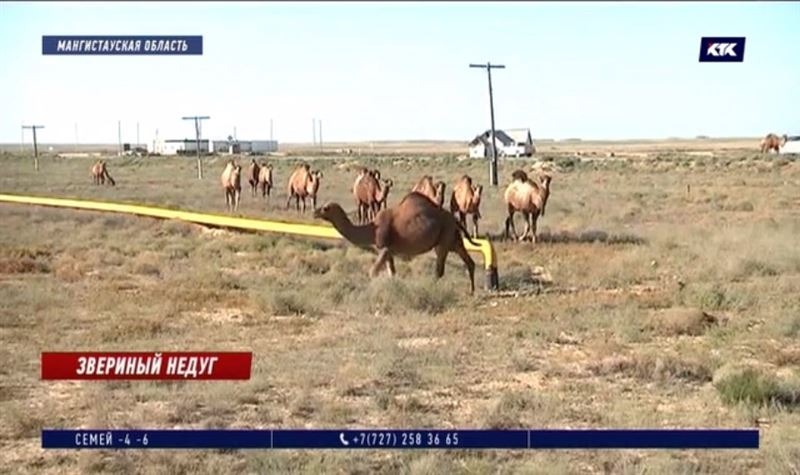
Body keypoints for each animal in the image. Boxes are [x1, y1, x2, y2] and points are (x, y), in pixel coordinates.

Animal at [310, 192, 476, 296]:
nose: (314, 212)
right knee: (469, 262)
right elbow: (392, 273)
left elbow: (373, 272)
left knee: (439, 269)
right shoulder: (390, 250)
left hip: (444, 238)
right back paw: (472, 292)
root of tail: (455, 220)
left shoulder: (384, 247)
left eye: (325, 208)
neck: (372, 229)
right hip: (454, 240)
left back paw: (432, 289)